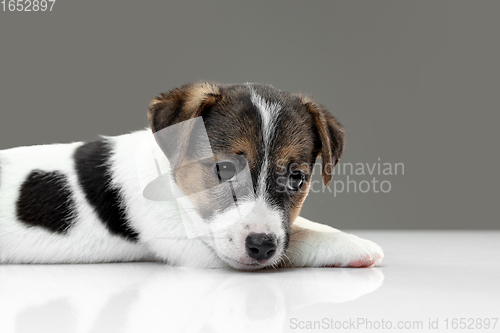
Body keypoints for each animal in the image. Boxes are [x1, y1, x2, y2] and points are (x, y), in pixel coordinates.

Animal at [0, 81, 384, 268]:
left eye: (296, 179)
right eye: (223, 169)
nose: (261, 246)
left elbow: (296, 231)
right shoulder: (202, 250)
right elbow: (300, 240)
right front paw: (355, 245)